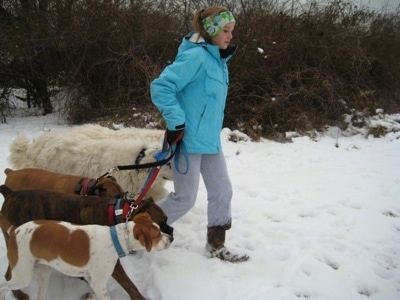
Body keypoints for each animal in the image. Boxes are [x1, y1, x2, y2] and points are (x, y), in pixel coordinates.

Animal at [0, 185, 174, 300]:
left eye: (167, 219)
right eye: (161, 223)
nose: (172, 233)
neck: (115, 214)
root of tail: (10, 194)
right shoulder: (114, 268)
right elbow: (129, 284)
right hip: (22, 265)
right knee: (8, 276)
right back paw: (18, 294)